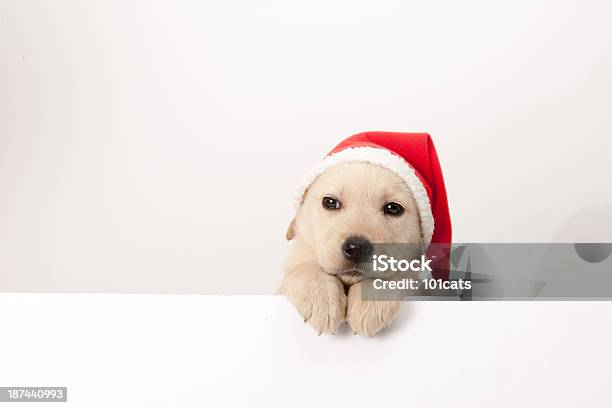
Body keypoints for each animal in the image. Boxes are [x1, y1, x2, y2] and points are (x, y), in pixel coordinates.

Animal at [280, 161, 424, 336]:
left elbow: (401, 276)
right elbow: (303, 266)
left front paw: (372, 300)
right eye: (330, 202)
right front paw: (320, 299)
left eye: (393, 208)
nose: (357, 248)